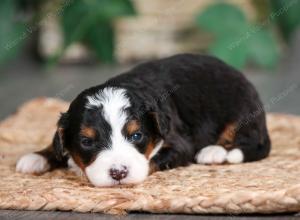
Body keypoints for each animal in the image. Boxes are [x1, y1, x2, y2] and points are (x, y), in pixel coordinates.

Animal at [15, 53, 272, 186]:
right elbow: (57, 145)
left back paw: (215, 152)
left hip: (241, 111)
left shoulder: (179, 143)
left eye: (136, 135)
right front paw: (36, 157)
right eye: (87, 141)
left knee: (250, 142)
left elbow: (152, 160)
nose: (118, 173)